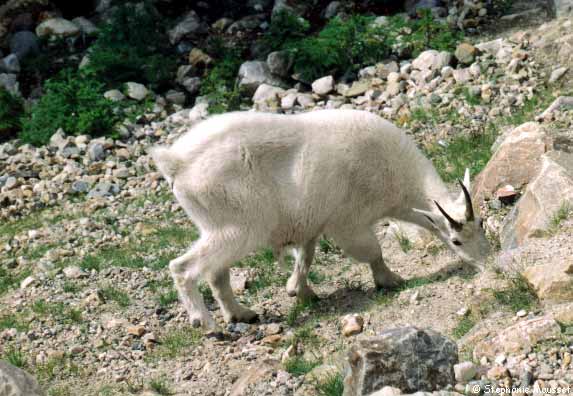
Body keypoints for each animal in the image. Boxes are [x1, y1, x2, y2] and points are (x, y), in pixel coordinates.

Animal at [150, 108, 490, 332]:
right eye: (456, 240)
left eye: (482, 224)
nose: (488, 264)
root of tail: (176, 164)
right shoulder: (347, 221)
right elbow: (373, 252)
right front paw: (390, 279)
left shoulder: (312, 221)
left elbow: (306, 256)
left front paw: (299, 291)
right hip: (239, 226)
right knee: (184, 267)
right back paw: (205, 322)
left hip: (218, 228)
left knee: (216, 273)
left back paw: (241, 314)